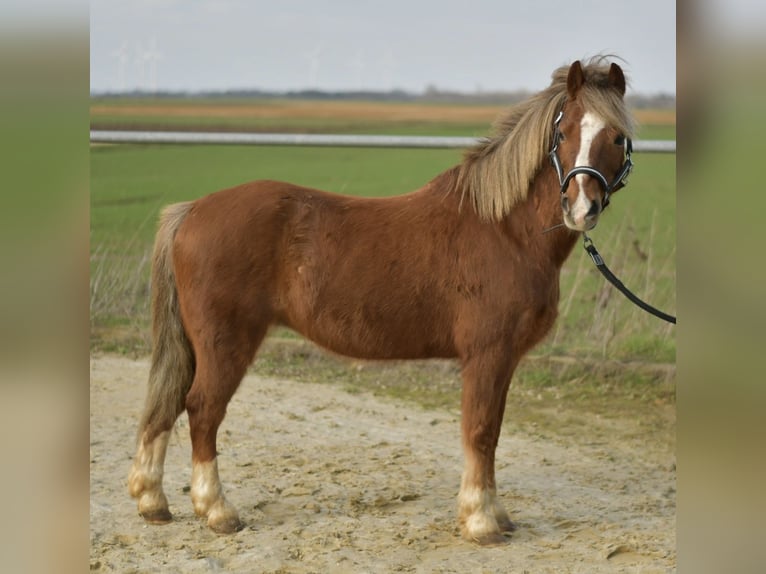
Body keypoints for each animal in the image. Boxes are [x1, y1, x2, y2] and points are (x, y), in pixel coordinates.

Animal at [128, 58, 635, 545]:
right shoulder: (486, 354)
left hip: (197, 344)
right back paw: (217, 511)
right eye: (563, 133)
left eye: (616, 136)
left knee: (169, 405)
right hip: (225, 342)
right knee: (202, 409)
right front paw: (480, 522)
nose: (581, 208)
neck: (505, 230)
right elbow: (480, 431)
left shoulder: (503, 359)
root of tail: (192, 210)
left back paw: (153, 501)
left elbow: (491, 432)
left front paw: (497, 516)